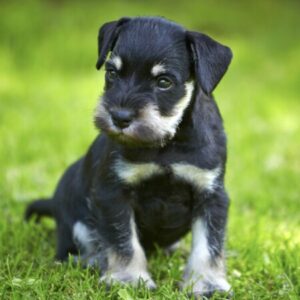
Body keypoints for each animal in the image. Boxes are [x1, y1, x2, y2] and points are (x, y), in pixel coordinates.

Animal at [25, 17, 232, 296]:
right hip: (75, 220)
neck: (166, 144)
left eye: (164, 82)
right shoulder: (114, 193)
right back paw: (93, 261)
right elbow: (123, 241)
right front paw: (128, 279)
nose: (119, 117)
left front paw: (207, 284)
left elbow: (208, 245)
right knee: (72, 252)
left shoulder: (211, 195)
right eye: (112, 73)